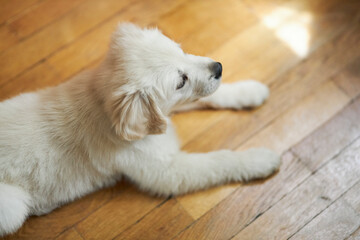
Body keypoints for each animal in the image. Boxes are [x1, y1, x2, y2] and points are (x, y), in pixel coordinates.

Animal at [0, 23, 282, 235]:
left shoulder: (164, 113)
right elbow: (218, 161)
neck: (101, 104)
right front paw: (260, 160)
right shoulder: (164, 172)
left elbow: (213, 96)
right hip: (12, 206)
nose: (219, 67)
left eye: (181, 50)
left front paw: (250, 91)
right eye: (181, 81)